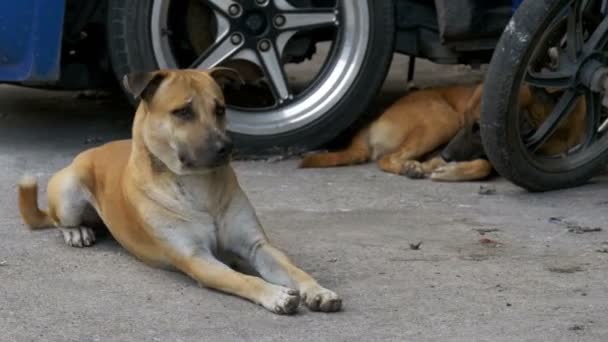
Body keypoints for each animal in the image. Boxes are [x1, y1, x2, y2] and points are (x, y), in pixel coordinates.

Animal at [302, 82, 588, 182]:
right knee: (387, 159)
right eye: (467, 123)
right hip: (442, 120)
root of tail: (373, 122)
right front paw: (446, 171)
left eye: (478, 128)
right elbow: (483, 166)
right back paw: (410, 167)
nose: (447, 157)